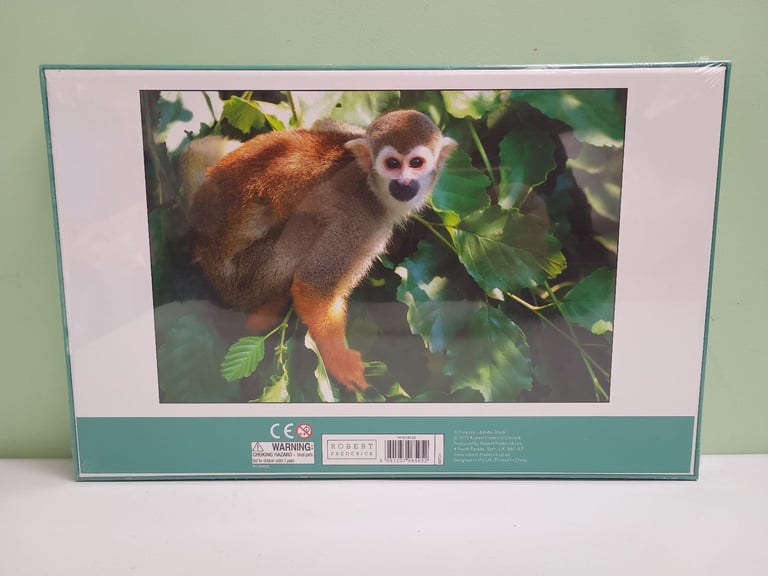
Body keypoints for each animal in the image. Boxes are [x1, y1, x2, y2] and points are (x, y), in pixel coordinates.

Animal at [182, 109, 457, 392]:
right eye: (391, 164)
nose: (404, 183)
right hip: (241, 281)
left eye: (416, 163)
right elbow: (315, 287)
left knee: (200, 147)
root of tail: (201, 242)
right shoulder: (363, 219)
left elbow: (321, 124)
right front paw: (341, 361)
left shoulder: (350, 133)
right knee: (305, 230)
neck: (370, 182)